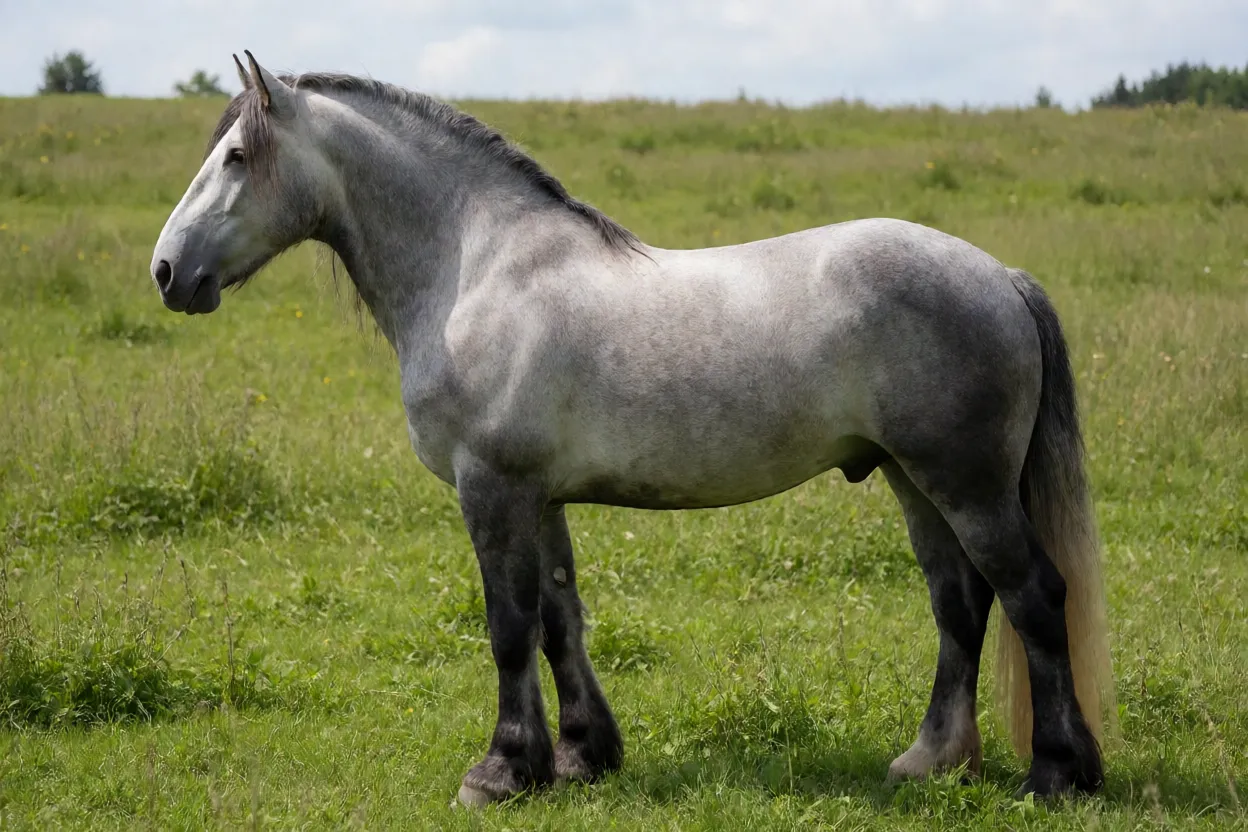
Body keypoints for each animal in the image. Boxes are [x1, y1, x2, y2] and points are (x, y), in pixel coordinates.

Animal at [150, 52, 1116, 807]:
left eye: (237, 156)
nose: (167, 272)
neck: (477, 268)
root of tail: (999, 275)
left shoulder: (492, 489)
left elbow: (508, 626)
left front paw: (500, 772)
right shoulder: (539, 498)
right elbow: (557, 620)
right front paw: (580, 757)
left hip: (966, 485)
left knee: (1034, 596)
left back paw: (1057, 774)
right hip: (914, 481)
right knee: (960, 605)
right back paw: (932, 762)